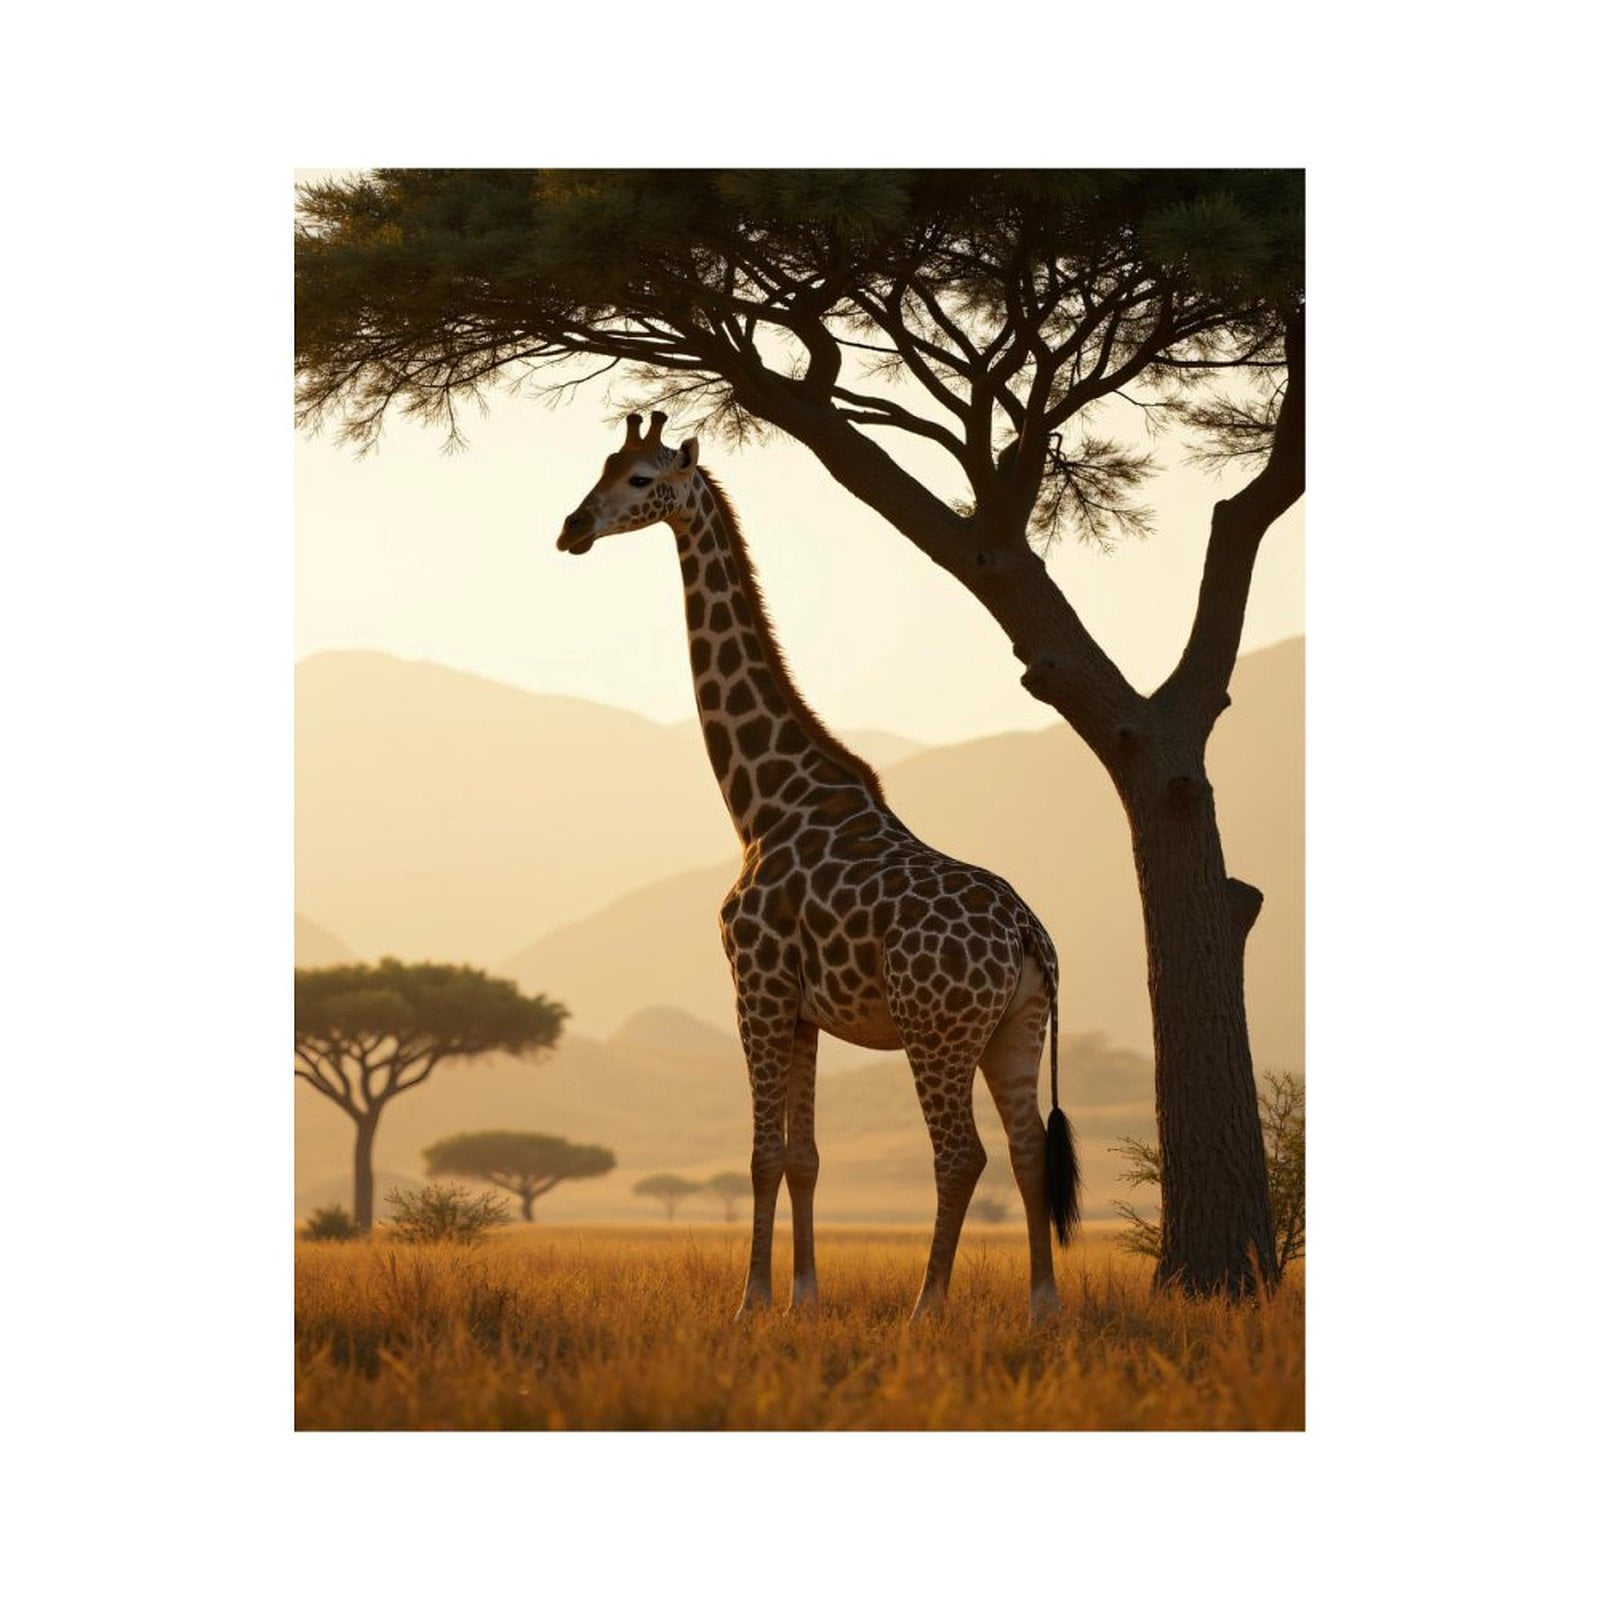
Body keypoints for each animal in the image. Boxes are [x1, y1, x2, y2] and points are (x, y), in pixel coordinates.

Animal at [558, 411, 1080, 1322]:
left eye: (641, 479)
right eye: (603, 464)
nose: (572, 528)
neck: (763, 801)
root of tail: (1027, 934)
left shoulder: (755, 987)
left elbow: (764, 1153)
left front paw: (751, 1302)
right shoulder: (802, 1009)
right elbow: (805, 1156)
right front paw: (804, 1297)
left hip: (935, 1031)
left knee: (962, 1155)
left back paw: (926, 1307)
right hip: (1017, 1027)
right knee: (1023, 1150)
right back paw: (1041, 1309)